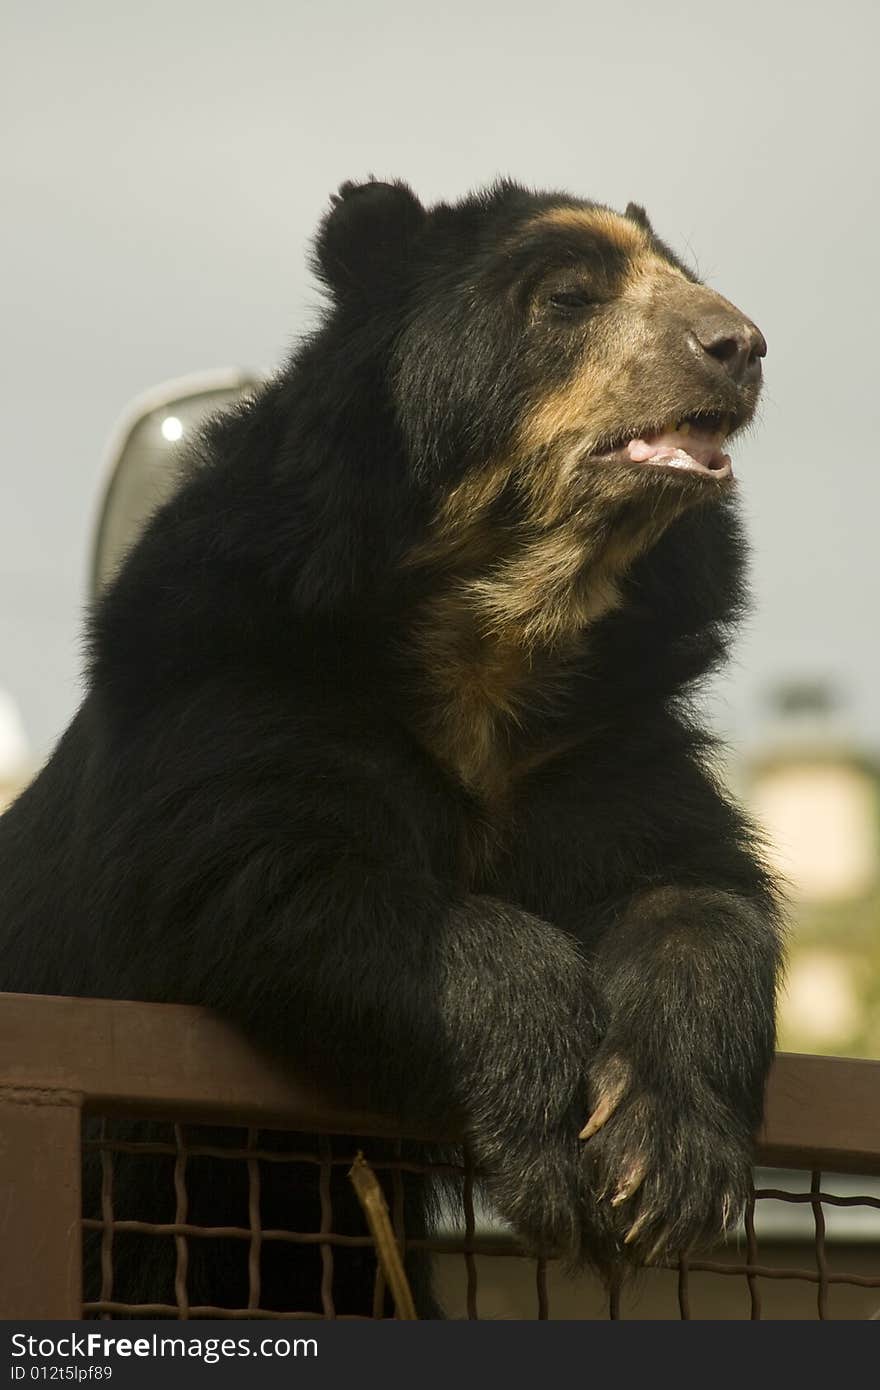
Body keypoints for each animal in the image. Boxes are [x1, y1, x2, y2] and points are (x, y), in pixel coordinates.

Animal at [0, 182, 784, 1312]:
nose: (740, 344)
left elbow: (691, 891)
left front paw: (654, 1169)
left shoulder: (600, 748)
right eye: (567, 299)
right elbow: (301, 879)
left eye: (688, 282)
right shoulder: (241, 689)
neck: (497, 643)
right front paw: (549, 1133)